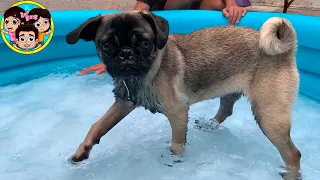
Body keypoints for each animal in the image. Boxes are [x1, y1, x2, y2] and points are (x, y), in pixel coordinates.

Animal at [66, 10, 302, 179]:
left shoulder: (178, 114)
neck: (146, 71)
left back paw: (291, 174)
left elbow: (177, 145)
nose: (126, 53)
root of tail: (287, 49)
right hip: (230, 92)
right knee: (226, 110)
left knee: (293, 154)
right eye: (106, 45)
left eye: (145, 42)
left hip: (268, 116)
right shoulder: (123, 104)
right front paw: (82, 151)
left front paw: (174, 163)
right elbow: (98, 125)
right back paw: (210, 125)